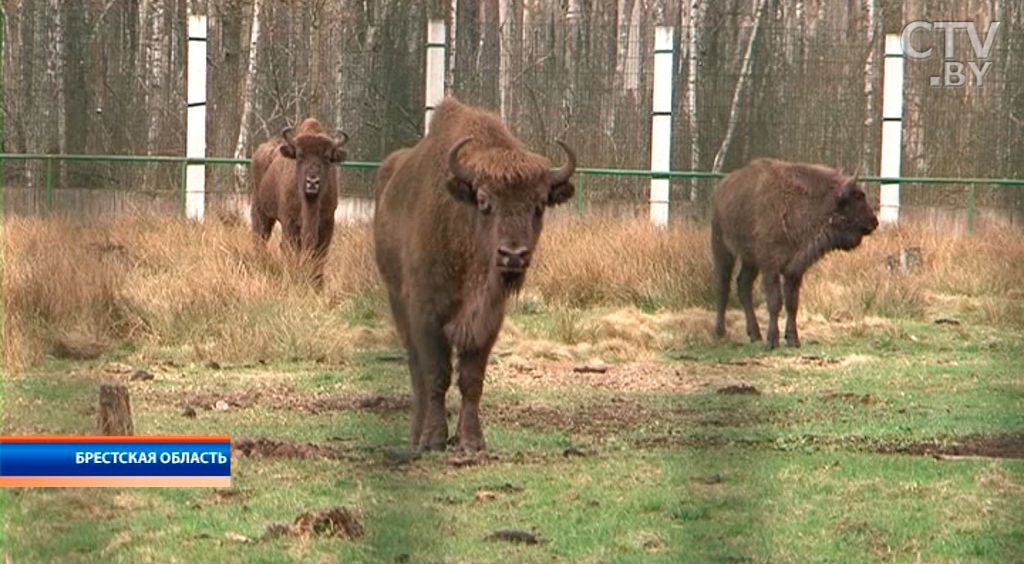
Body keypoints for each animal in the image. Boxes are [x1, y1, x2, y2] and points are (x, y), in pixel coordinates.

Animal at [247, 117, 348, 288]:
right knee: (260, 238)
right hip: (260, 211)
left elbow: (319, 254)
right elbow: (291, 250)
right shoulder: (290, 223)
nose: (312, 181)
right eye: (300, 155)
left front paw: (317, 284)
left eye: (327, 157)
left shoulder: (327, 222)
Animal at [376, 96, 581, 450]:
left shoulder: (488, 319)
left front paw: (471, 440)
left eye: (539, 205)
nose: (512, 255)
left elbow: (472, 379)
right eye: (484, 202)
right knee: (416, 368)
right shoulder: (426, 312)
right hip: (396, 299)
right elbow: (436, 374)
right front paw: (433, 438)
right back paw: (416, 434)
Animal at [712, 157, 880, 348]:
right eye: (858, 197)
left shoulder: (794, 268)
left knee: (743, 286)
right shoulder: (770, 266)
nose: (874, 221)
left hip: (750, 261)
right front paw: (773, 341)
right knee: (722, 286)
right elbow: (775, 301)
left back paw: (754, 334)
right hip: (722, 248)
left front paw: (793, 340)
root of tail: (722, 187)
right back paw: (720, 332)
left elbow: (792, 303)